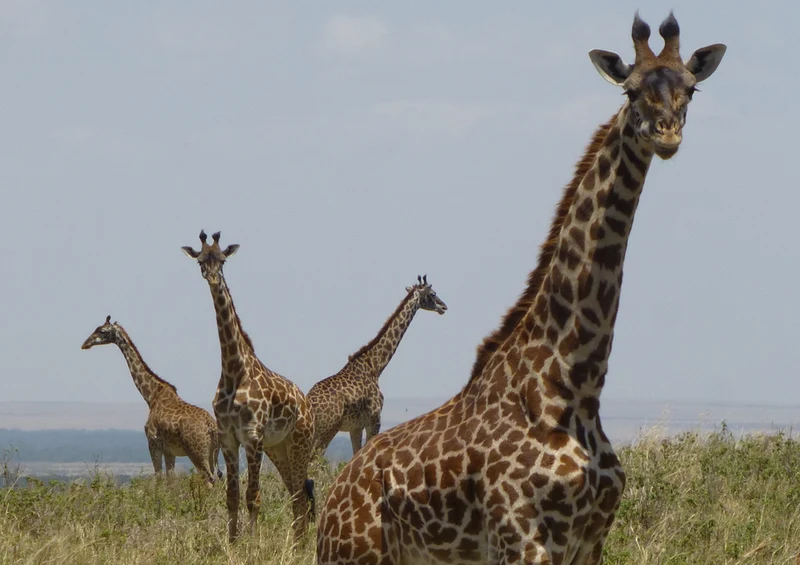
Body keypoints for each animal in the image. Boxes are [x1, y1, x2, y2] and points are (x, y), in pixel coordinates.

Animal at [81, 316, 221, 483]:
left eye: (102, 330)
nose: (85, 344)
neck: (151, 395)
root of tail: (212, 427)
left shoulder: (153, 443)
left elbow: (159, 478)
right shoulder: (169, 451)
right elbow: (170, 480)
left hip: (197, 452)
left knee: (209, 480)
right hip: (214, 452)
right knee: (218, 478)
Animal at [182, 230, 315, 544]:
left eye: (222, 260)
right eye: (201, 260)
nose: (212, 277)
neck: (234, 371)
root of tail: (305, 403)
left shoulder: (253, 436)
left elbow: (253, 496)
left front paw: (253, 544)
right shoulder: (228, 438)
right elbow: (232, 496)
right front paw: (232, 543)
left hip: (300, 441)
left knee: (301, 494)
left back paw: (300, 543)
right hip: (278, 448)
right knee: (295, 493)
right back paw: (297, 543)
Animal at [308, 275, 448, 459]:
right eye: (432, 294)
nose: (444, 307)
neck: (375, 366)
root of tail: (309, 403)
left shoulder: (356, 426)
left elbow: (356, 454)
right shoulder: (374, 420)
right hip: (327, 430)